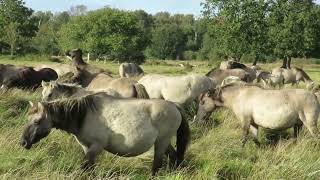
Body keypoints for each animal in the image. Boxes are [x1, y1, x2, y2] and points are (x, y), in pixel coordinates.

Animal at [20, 93, 190, 176]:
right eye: (27, 118)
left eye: (37, 121)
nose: (23, 142)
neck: (84, 115)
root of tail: (174, 106)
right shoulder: (87, 148)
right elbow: (89, 167)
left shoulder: (97, 146)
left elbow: (84, 166)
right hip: (164, 142)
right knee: (175, 158)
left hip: (162, 142)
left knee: (157, 165)